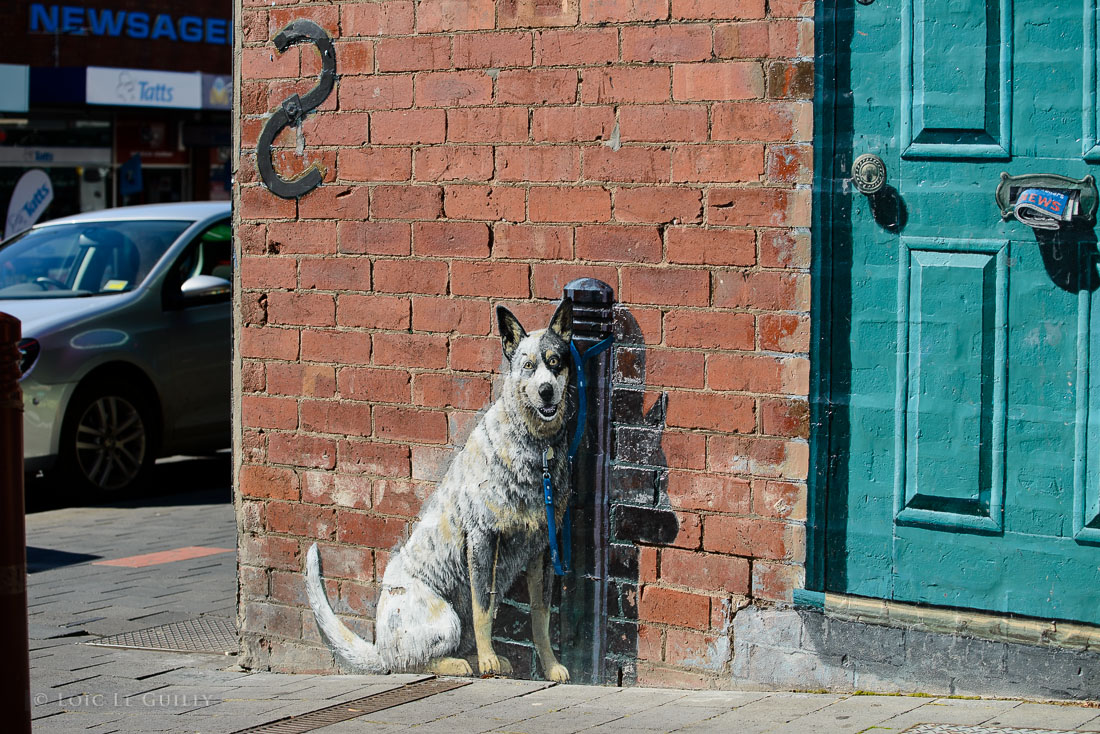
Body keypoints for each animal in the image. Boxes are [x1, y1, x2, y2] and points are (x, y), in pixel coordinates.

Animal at [303, 297, 576, 682]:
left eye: (555, 362)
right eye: (527, 366)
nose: (546, 391)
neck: (537, 450)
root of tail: (379, 646)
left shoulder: (541, 548)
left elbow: (541, 616)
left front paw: (551, 666)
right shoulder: (481, 539)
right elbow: (482, 608)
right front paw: (489, 660)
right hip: (444, 620)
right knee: (410, 662)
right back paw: (464, 664)